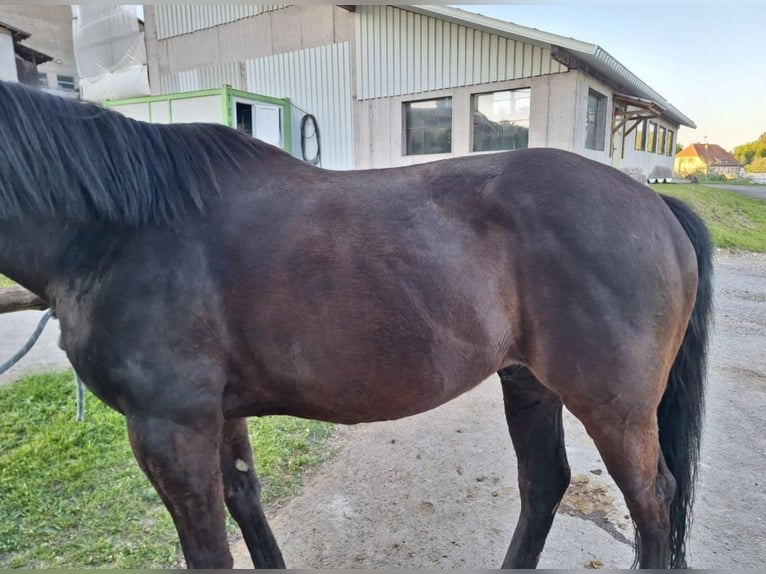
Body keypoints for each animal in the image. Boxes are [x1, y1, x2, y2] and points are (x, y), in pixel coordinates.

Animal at [0, 79, 712, 569]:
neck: (121, 232)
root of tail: (656, 205)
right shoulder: (216, 416)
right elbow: (247, 503)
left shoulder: (167, 430)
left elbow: (209, 549)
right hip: (528, 384)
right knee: (545, 485)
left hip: (616, 408)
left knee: (652, 499)